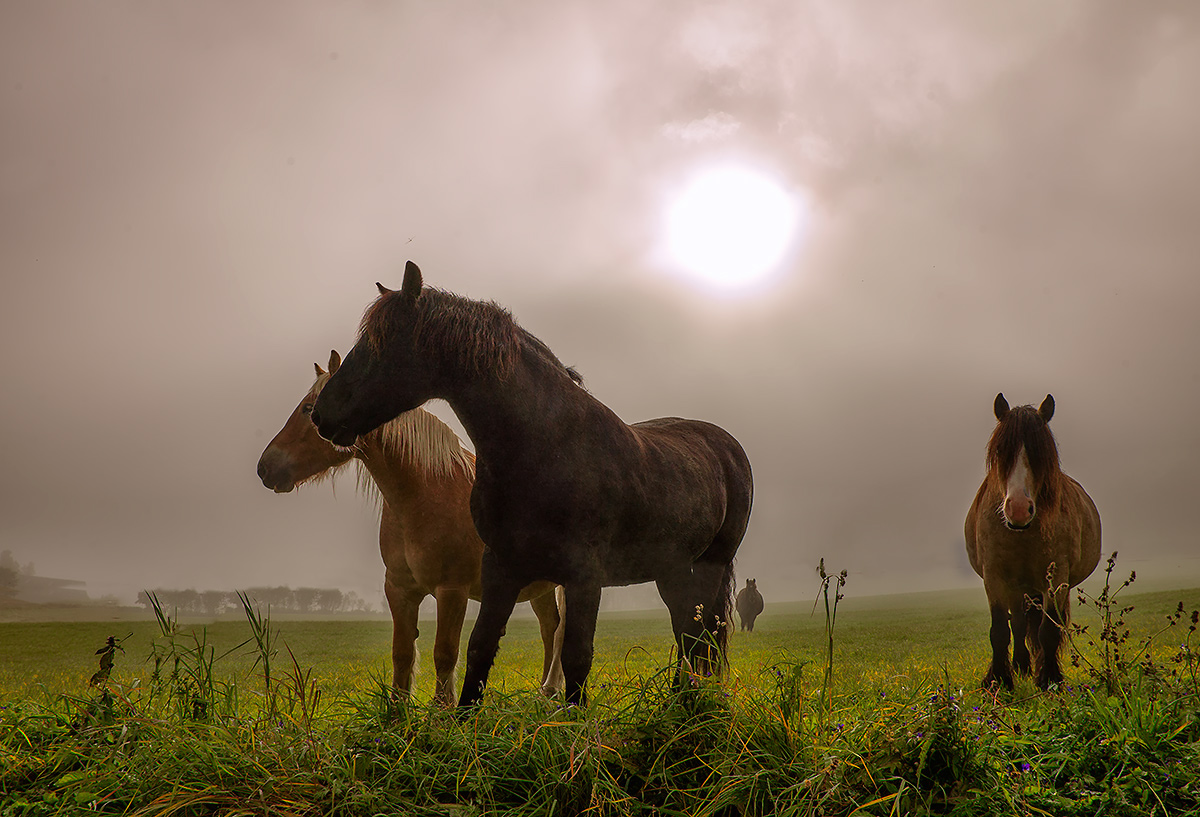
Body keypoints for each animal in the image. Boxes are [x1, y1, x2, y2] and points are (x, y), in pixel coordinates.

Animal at [255, 352, 564, 705]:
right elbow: (402, 653)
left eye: (309, 409)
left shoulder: (452, 590)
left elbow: (445, 653)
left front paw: (443, 709)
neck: (425, 493)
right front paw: (397, 710)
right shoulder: (399, 589)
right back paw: (545, 693)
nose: (265, 467)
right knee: (550, 626)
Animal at [309, 262, 748, 705]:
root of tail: (726, 444)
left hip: (709, 565)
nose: (321, 414)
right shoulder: (502, 567)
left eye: (381, 343)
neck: (544, 447)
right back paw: (682, 700)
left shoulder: (584, 577)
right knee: (687, 631)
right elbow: (479, 648)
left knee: (700, 633)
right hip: (670, 569)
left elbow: (576, 657)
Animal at [960, 395, 1099, 686]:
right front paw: (999, 680)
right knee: (1018, 624)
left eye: (1040, 454)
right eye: (1001, 452)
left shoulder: (1056, 579)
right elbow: (1000, 630)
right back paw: (1021, 666)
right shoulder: (995, 578)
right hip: (1017, 588)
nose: (1019, 509)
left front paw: (1050, 678)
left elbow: (1049, 631)